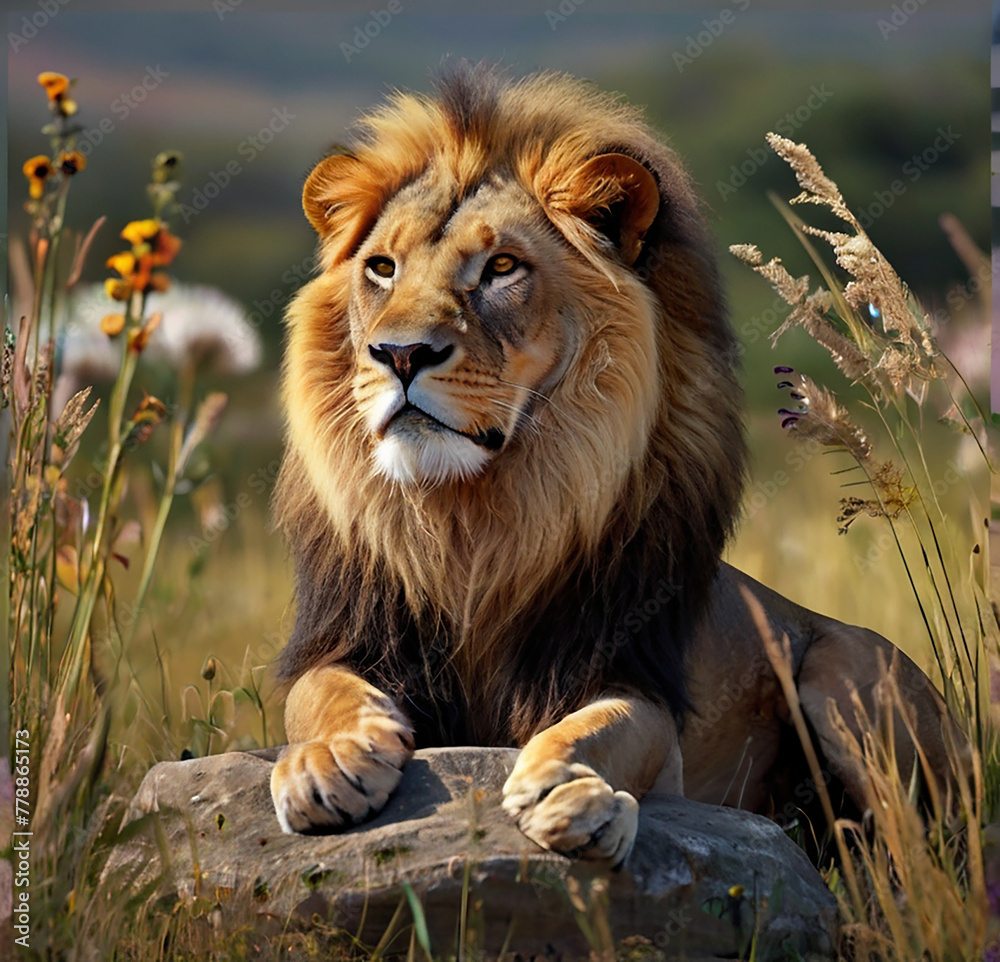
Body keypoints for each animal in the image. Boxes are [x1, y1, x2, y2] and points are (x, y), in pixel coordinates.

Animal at [269, 63, 960, 866]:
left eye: (501, 267)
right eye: (381, 268)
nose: (400, 353)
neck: (470, 520)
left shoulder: (629, 675)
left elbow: (607, 726)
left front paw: (566, 786)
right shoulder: (354, 639)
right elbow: (319, 693)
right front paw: (327, 761)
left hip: (844, 676)